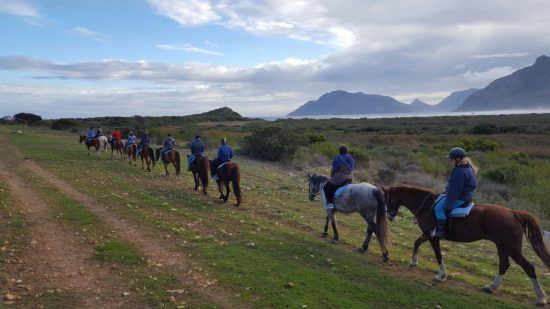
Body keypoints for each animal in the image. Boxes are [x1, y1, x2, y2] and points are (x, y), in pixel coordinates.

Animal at [384, 184, 550, 304]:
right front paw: (413, 262)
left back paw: (541, 298)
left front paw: (441, 275)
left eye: (386, 199)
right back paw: (492, 287)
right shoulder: (427, 234)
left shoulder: (433, 237)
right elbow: (417, 242)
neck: (427, 205)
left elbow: (438, 255)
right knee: (504, 265)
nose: (390, 217)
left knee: (529, 267)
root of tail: (513, 212)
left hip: (512, 248)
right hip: (502, 246)